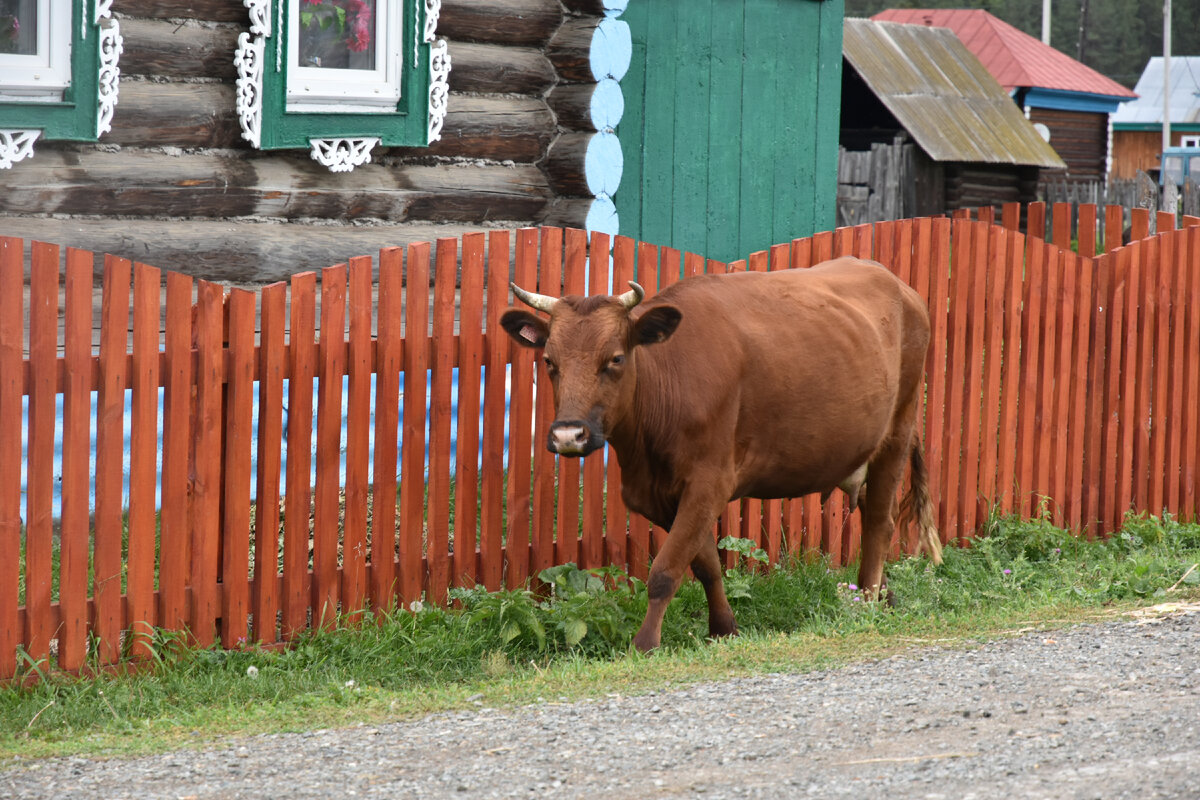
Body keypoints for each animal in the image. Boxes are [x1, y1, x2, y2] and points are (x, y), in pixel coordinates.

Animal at [501, 256, 940, 652]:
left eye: (615, 358)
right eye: (549, 361)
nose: (569, 435)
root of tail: (899, 285)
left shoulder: (709, 482)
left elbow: (665, 570)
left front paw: (645, 644)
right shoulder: (663, 495)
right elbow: (705, 565)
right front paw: (723, 628)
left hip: (897, 432)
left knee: (880, 522)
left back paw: (867, 601)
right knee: (870, 508)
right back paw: (882, 596)